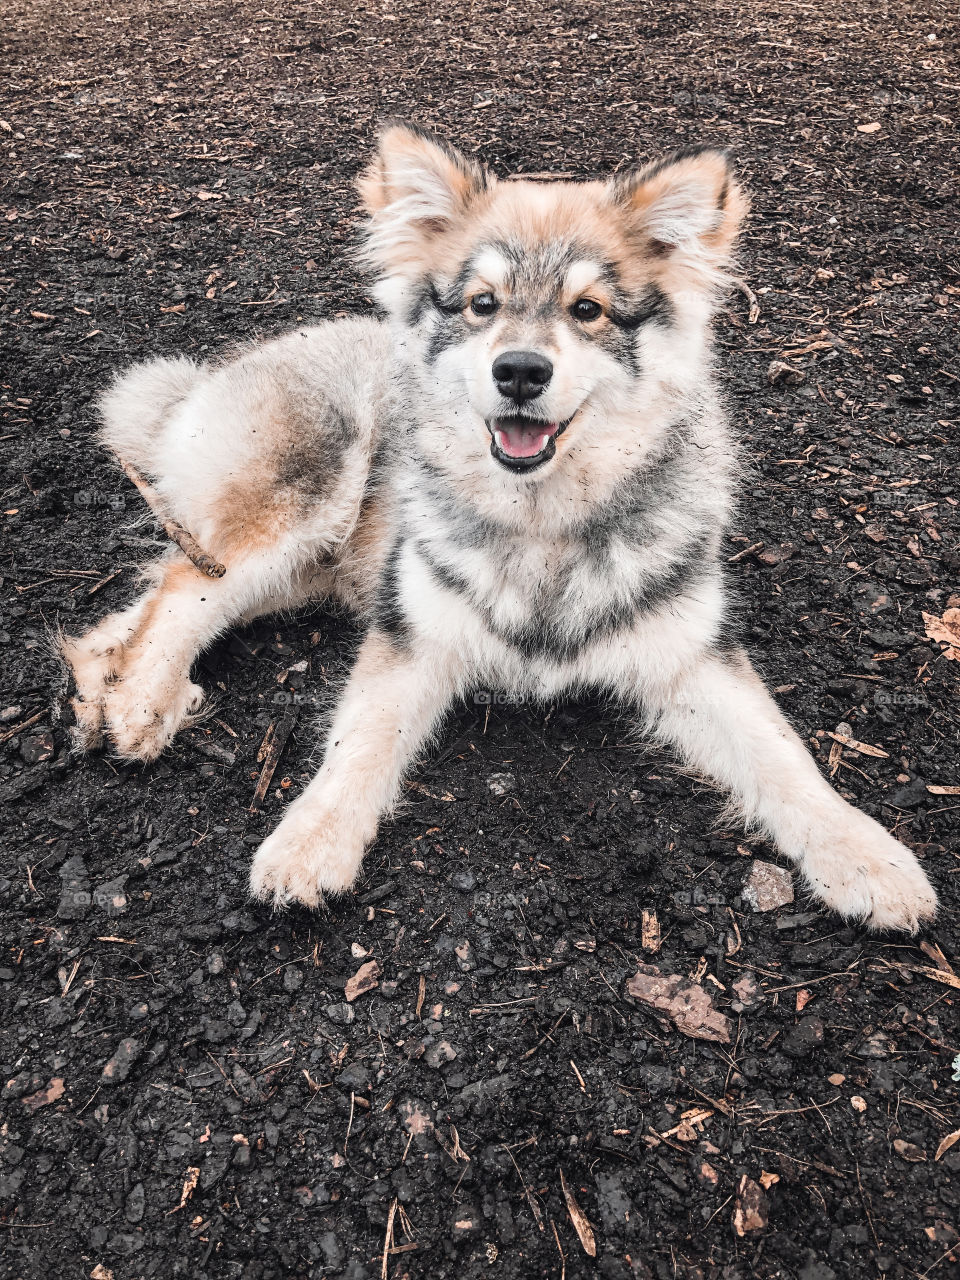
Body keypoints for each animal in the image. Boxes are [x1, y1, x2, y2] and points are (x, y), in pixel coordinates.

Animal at [60, 124, 942, 931]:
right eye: (482, 304)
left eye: (588, 311)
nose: (519, 370)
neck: (544, 526)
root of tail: (208, 379)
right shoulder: (412, 632)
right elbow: (357, 742)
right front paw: (310, 839)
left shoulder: (693, 657)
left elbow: (784, 756)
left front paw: (864, 854)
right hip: (311, 492)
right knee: (187, 584)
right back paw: (143, 702)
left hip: (309, 568)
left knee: (147, 595)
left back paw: (107, 680)